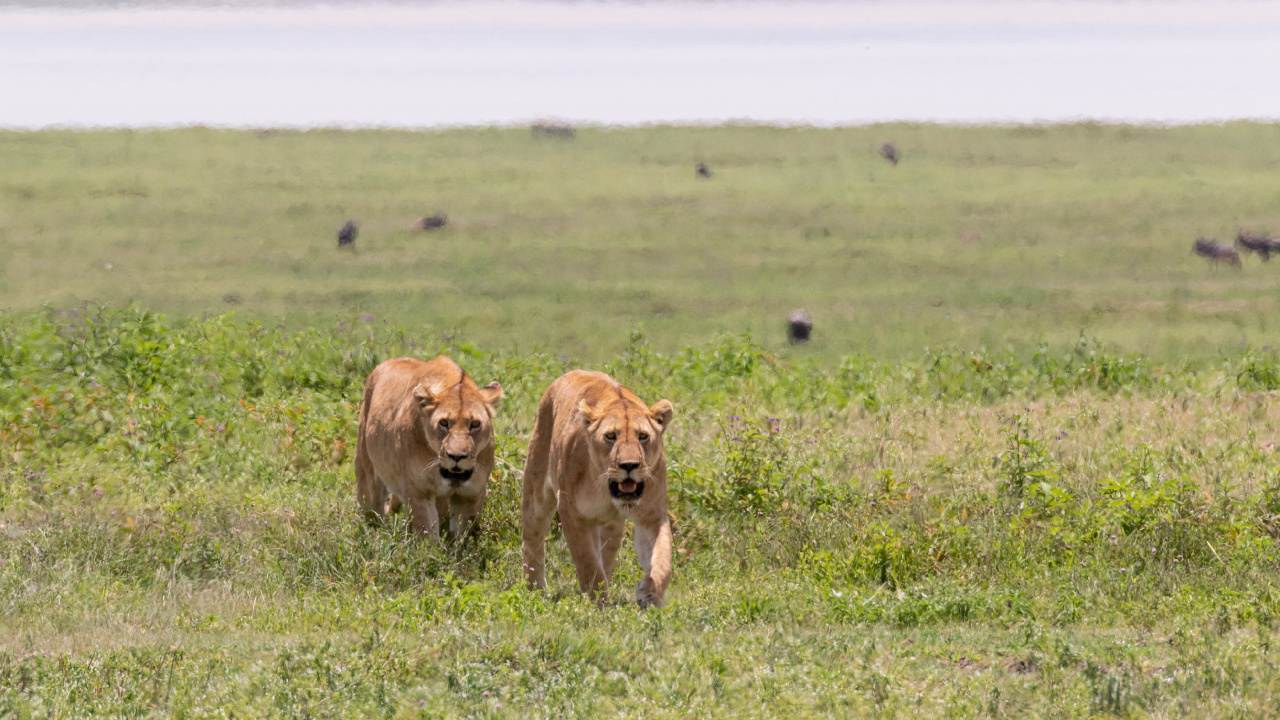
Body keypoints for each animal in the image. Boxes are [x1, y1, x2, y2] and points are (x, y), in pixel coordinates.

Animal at [355, 356, 503, 540]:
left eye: (475, 424)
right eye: (443, 423)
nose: (456, 456)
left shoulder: (471, 494)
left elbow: (462, 535)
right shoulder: (419, 492)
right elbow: (426, 534)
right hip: (366, 468)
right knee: (371, 507)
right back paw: (373, 533)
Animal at [521, 370, 675, 608]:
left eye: (643, 436)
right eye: (610, 436)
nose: (629, 465)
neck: (605, 489)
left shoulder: (652, 516)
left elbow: (661, 558)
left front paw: (649, 594)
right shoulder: (572, 513)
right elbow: (588, 565)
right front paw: (598, 606)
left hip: (611, 527)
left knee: (607, 556)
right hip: (536, 492)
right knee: (532, 540)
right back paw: (535, 591)